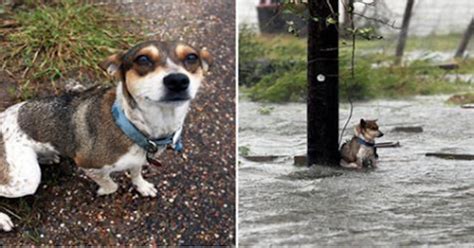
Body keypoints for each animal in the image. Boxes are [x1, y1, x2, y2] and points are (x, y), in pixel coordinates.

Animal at [0, 39, 212, 232]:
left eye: (192, 57)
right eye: (143, 59)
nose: (178, 80)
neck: (130, 124)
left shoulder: (138, 159)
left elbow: (136, 173)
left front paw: (142, 186)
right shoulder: (88, 164)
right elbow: (111, 185)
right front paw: (103, 190)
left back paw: (48, 157)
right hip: (26, 179)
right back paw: (3, 220)